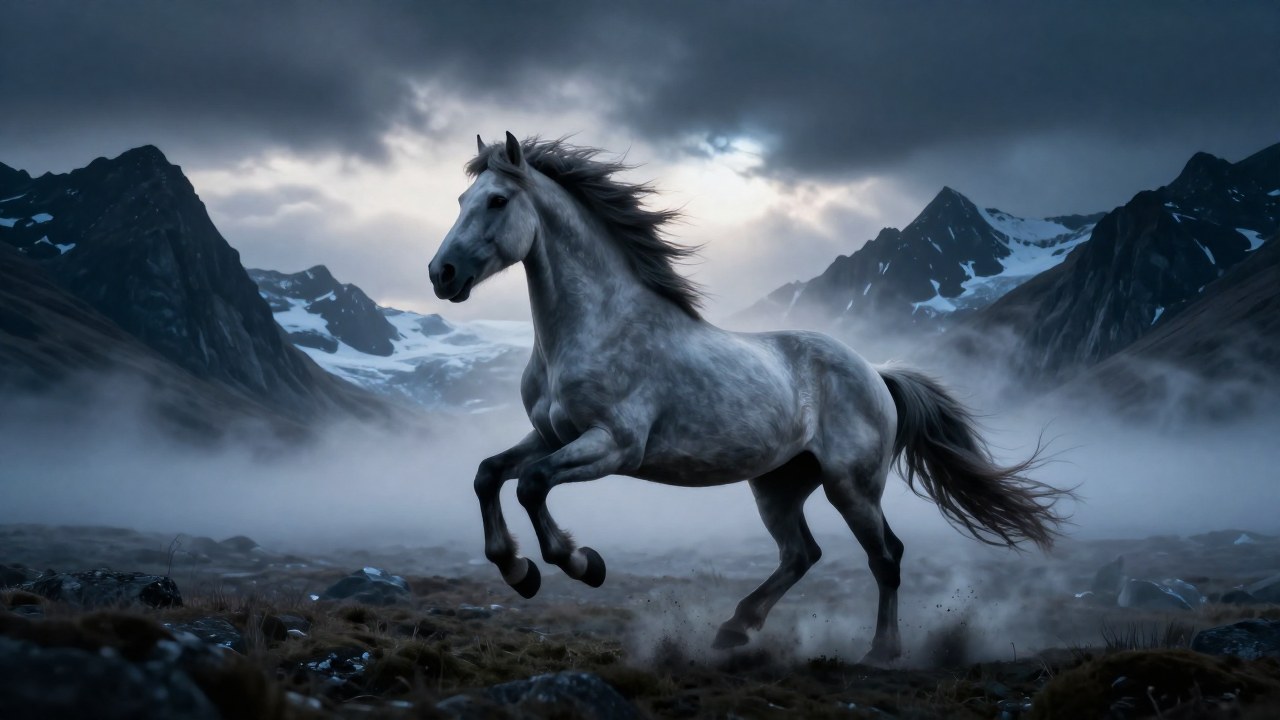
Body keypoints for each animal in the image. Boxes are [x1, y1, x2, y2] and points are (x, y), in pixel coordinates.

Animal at [427, 132, 1070, 662]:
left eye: (497, 202)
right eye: (459, 200)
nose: (442, 274)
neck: (596, 326)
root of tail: (876, 373)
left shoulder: (613, 446)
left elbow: (533, 484)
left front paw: (581, 563)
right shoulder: (552, 434)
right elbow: (489, 474)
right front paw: (518, 570)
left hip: (851, 485)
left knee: (885, 556)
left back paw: (881, 652)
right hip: (779, 485)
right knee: (802, 555)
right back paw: (735, 629)